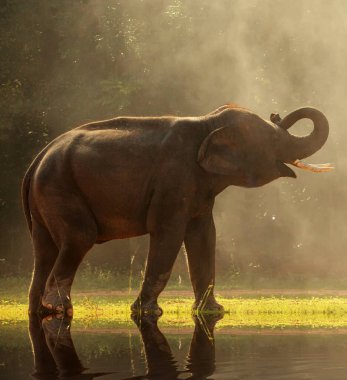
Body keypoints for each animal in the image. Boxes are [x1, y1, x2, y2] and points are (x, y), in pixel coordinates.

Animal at [23, 102, 334, 316]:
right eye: (273, 141)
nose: (276, 114)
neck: (208, 122)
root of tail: (37, 158)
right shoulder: (174, 181)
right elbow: (168, 234)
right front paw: (148, 312)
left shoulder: (199, 190)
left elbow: (204, 236)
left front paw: (212, 311)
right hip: (59, 188)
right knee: (79, 238)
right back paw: (59, 309)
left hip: (45, 199)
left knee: (44, 250)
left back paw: (39, 310)